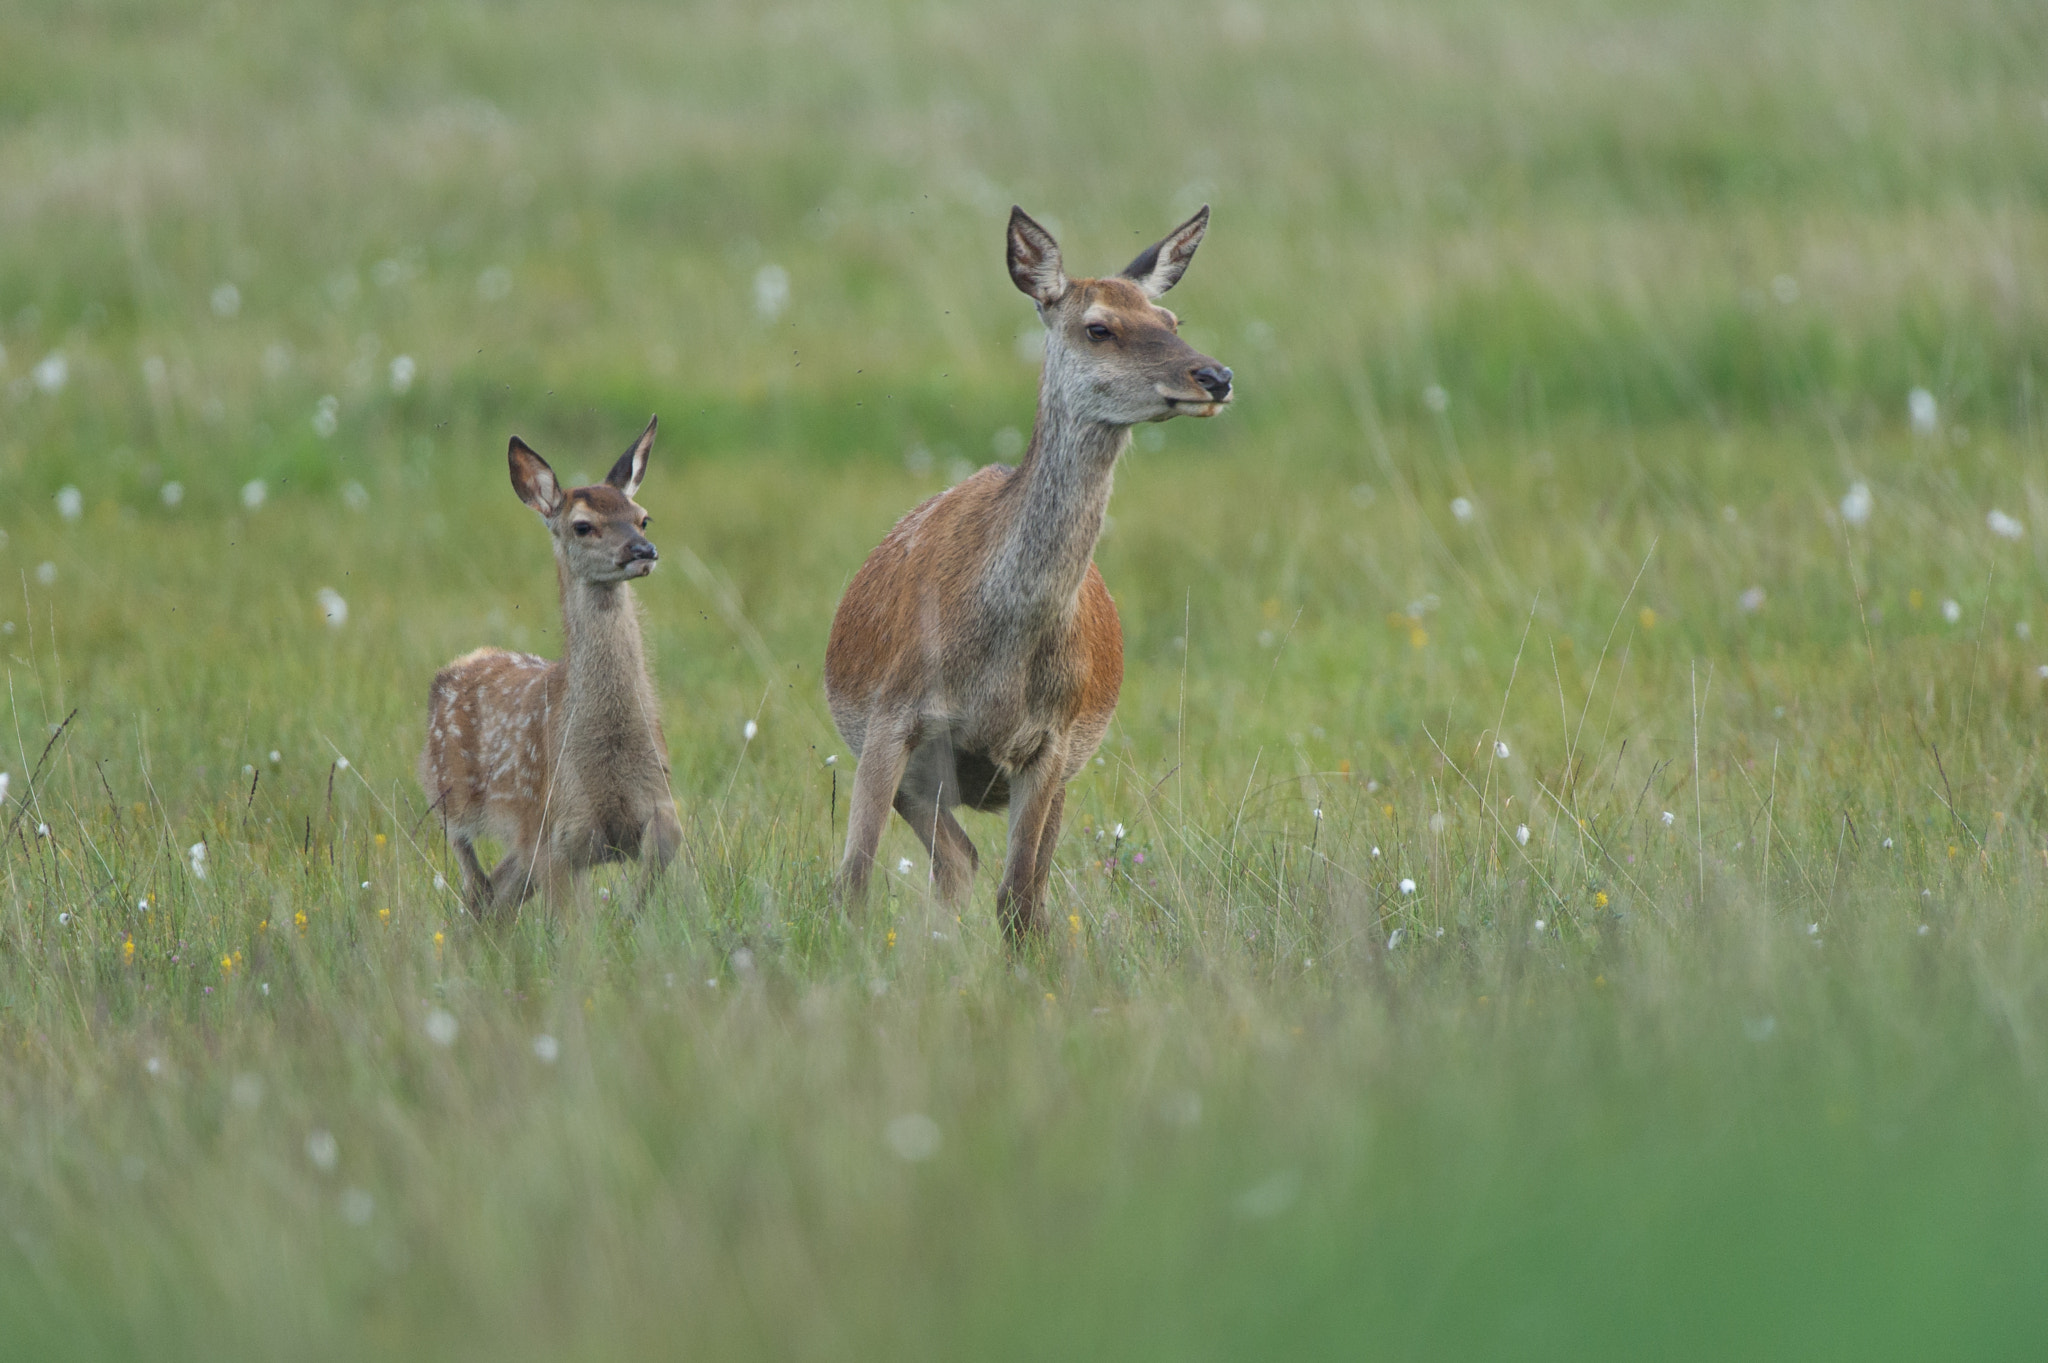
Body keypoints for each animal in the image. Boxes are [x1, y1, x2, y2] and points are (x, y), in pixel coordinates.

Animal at [418, 417, 683, 919]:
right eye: (583, 526)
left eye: (643, 516)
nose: (644, 550)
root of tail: (458, 666)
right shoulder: (550, 832)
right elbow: (573, 924)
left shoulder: (660, 806)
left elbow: (655, 870)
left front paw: (631, 921)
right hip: (447, 794)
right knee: (475, 883)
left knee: (496, 895)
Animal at [823, 205, 1233, 940]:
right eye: (1099, 327)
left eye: (1171, 318)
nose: (1215, 376)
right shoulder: (890, 721)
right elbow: (853, 883)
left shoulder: (1052, 743)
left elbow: (1018, 901)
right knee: (953, 860)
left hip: (1062, 775)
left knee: (994, 875)